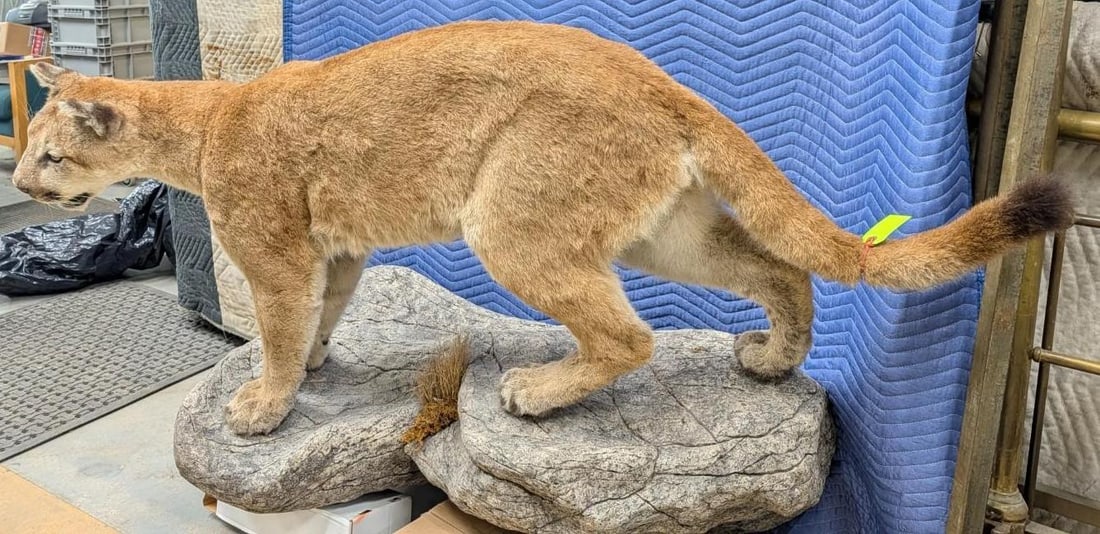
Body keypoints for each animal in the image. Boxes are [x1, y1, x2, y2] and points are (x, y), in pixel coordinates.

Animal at [12, 20, 1073, 436]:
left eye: (50, 156)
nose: (19, 178)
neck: (199, 123)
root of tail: (661, 78)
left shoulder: (275, 252)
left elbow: (275, 325)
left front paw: (267, 403)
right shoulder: (336, 252)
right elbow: (318, 313)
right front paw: (310, 364)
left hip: (512, 222)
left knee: (631, 334)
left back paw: (538, 392)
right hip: (665, 231)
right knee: (783, 270)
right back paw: (772, 361)